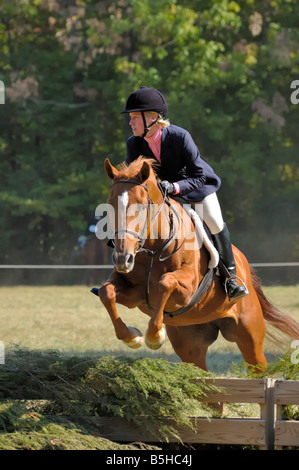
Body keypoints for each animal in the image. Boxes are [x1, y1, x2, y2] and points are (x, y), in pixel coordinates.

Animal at [91, 157, 299, 370]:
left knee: (257, 365)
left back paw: (235, 286)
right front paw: (133, 337)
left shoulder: (187, 289)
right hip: (190, 343)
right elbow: (106, 293)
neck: (152, 250)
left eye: (141, 207)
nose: (122, 259)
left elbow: (165, 282)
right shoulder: (135, 295)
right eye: (109, 206)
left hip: (249, 335)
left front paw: (155, 336)